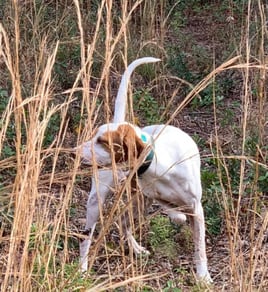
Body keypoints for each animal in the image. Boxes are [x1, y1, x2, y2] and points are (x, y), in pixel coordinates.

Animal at [76, 56, 213, 282]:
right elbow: (176, 214)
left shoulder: (195, 207)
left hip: (138, 202)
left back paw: (136, 249)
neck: (161, 164)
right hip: (98, 201)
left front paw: (203, 277)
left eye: (102, 141)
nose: (75, 151)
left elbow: (199, 247)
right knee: (87, 237)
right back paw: (82, 268)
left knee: (124, 223)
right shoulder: (155, 196)